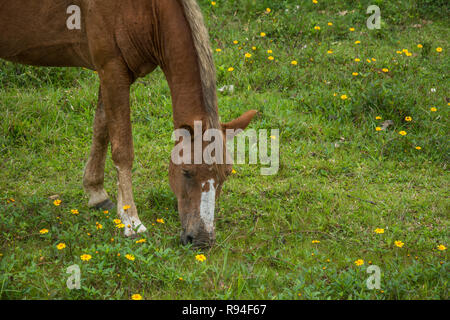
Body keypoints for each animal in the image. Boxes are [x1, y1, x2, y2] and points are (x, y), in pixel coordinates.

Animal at [0, 0, 256, 248]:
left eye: (227, 173)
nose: (202, 240)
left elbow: (101, 129)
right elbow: (123, 150)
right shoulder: (112, 70)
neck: (146, 9)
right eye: (186, 171)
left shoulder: (111, 75)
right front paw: (131, 221)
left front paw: (96, 192)